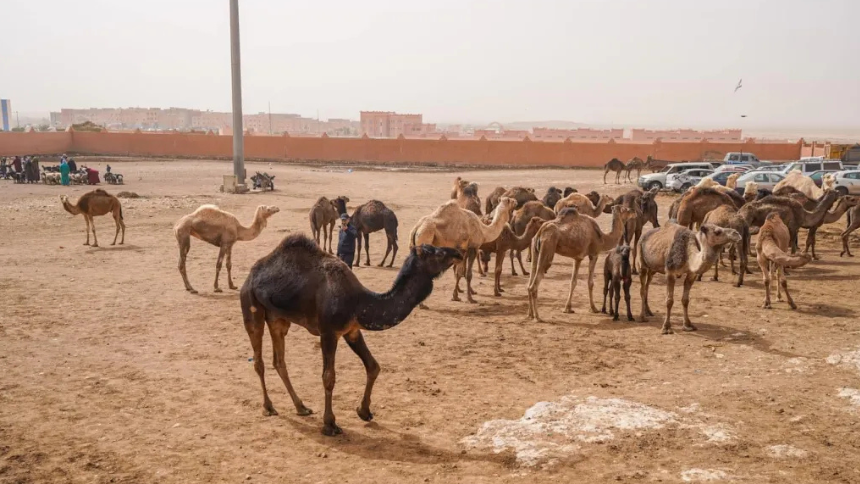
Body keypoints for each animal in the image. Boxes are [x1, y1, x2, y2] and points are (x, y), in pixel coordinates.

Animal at [240, 234, 461, 436]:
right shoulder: (328, 333)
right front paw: (330, 424)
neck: (358, 301)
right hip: (252, 307)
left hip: (278, 318)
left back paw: (301, 407)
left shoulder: (352, 331)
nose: (458, 252)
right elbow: (328, 376)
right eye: (438, 253)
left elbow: (373, 366)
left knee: (279, 361)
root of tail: (250, 276)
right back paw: (268, 407)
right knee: (259, 360)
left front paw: (364, 411)